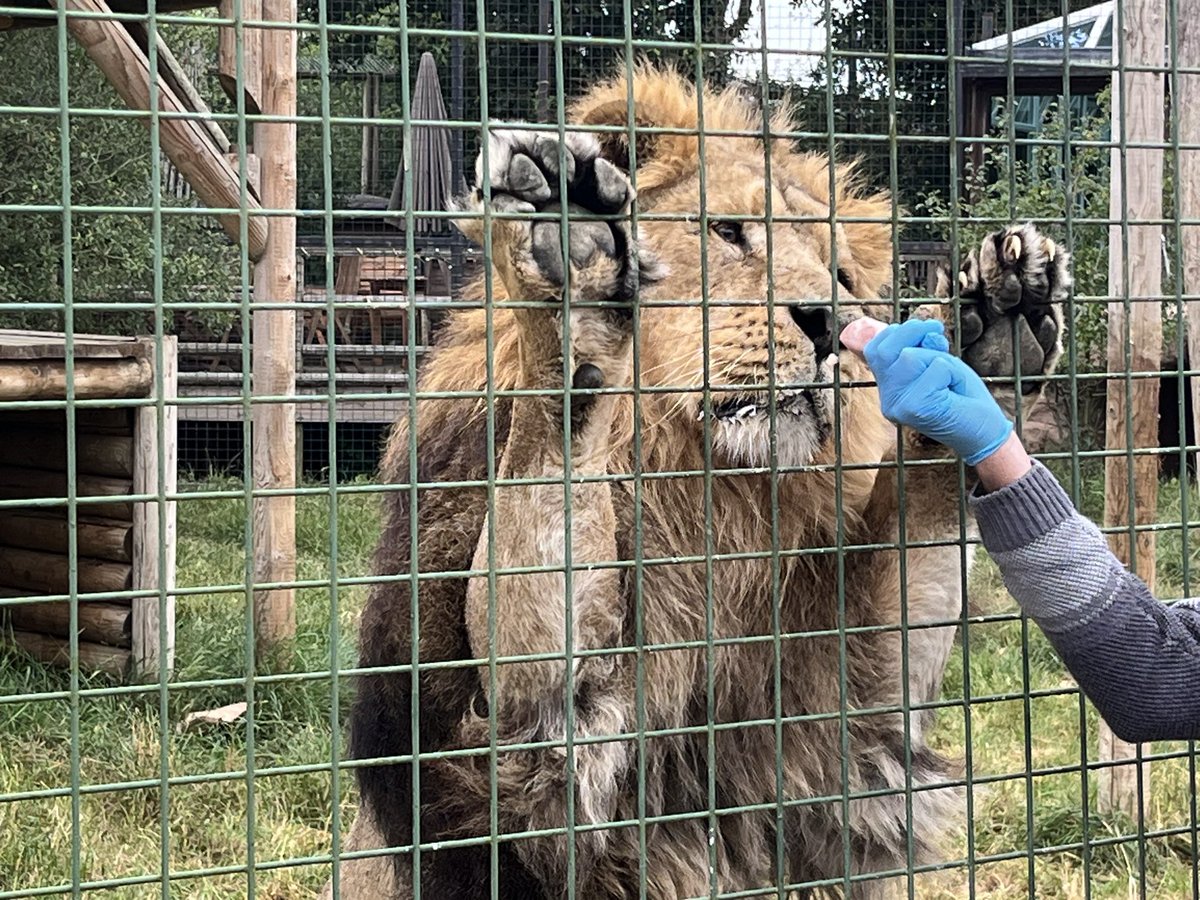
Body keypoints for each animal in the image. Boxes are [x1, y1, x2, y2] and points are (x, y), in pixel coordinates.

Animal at [323, 66, 1070, 899]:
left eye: (843, 276)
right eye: (729, 232)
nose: (829, 323)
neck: (705, 502)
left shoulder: (833, 730)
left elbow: (919, 531)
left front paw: (987, 347)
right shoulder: (520, 753)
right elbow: (545, 486)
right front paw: (578, 286)